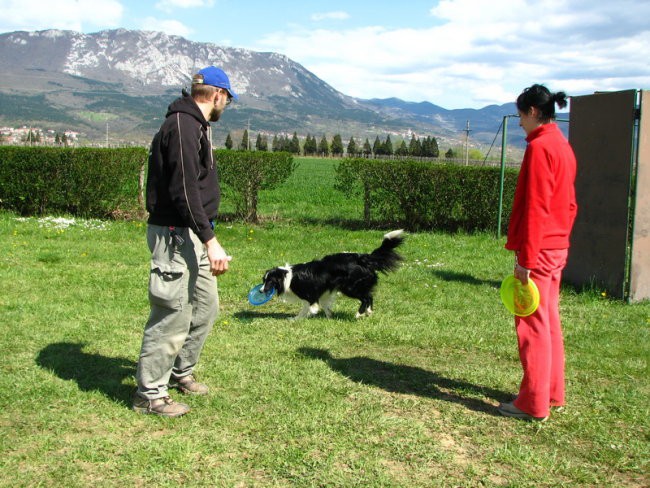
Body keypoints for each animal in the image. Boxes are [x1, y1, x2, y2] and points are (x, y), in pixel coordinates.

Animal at [260, 230, 402, 320]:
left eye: (269, 281)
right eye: (264, 280)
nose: (261, 290)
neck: (287, 277)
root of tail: (362, 259)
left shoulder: (310, 295)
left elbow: (307, 308)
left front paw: (299, 317)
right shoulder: (323, 293)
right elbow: (323, 306)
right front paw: (329, 317)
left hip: (350, 287)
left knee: (366, 298)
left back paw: (358, 314)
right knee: (370, 296)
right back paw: (368, 312)